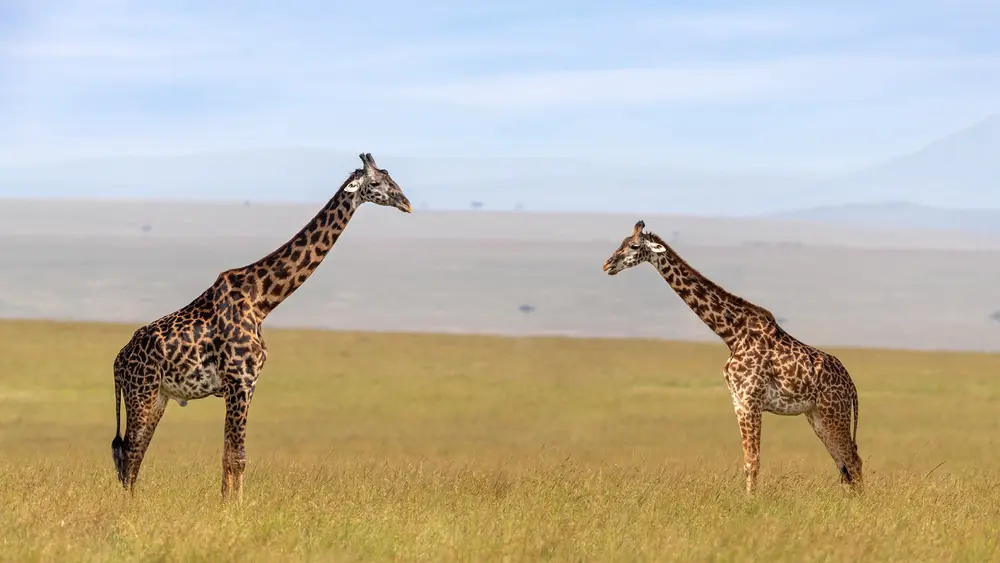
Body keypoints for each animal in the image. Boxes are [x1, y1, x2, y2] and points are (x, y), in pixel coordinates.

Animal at [111, 153, 412, 502]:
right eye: (375, 183)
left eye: (391, 176)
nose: (406, 203)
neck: (263, 301)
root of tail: (118, 361)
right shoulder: (240, 379)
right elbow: (238, 457)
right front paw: (235, 508)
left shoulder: (245, 384)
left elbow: (228, 454)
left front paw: (226, 504)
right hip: (141, 392)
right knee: (129, 452)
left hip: (158, 396)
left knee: (134, 453)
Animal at [602, 220, 862, 494]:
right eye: (621, 242)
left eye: (634, 246)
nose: (608, 264)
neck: (732, 334)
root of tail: (851, 386)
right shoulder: (738, 401)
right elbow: (748, 462)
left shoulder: (750, 401)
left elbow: (753, 461)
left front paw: (752, 501)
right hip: (817, 415)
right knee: (843, 464)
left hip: (833, 412)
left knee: (853, 461)